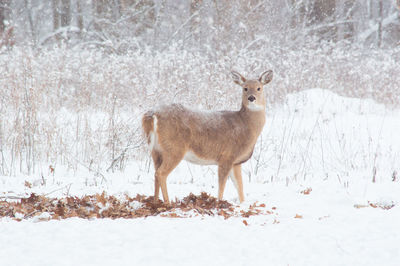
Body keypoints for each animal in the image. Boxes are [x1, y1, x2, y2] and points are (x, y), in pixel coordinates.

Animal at [142, 69, 274, 204]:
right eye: (245, 88)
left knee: (155, 172)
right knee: (161, 173)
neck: (245, 125)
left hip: (155, 150)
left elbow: (240, 186)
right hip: (174, 148)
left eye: (259, 88)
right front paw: (219, 203)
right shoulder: (227, 156)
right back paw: (168, 203)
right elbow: (222, 185)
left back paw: (155, 202)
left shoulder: (236, 162)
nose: (251, 98)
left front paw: (242, 203)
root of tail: (152, 114)